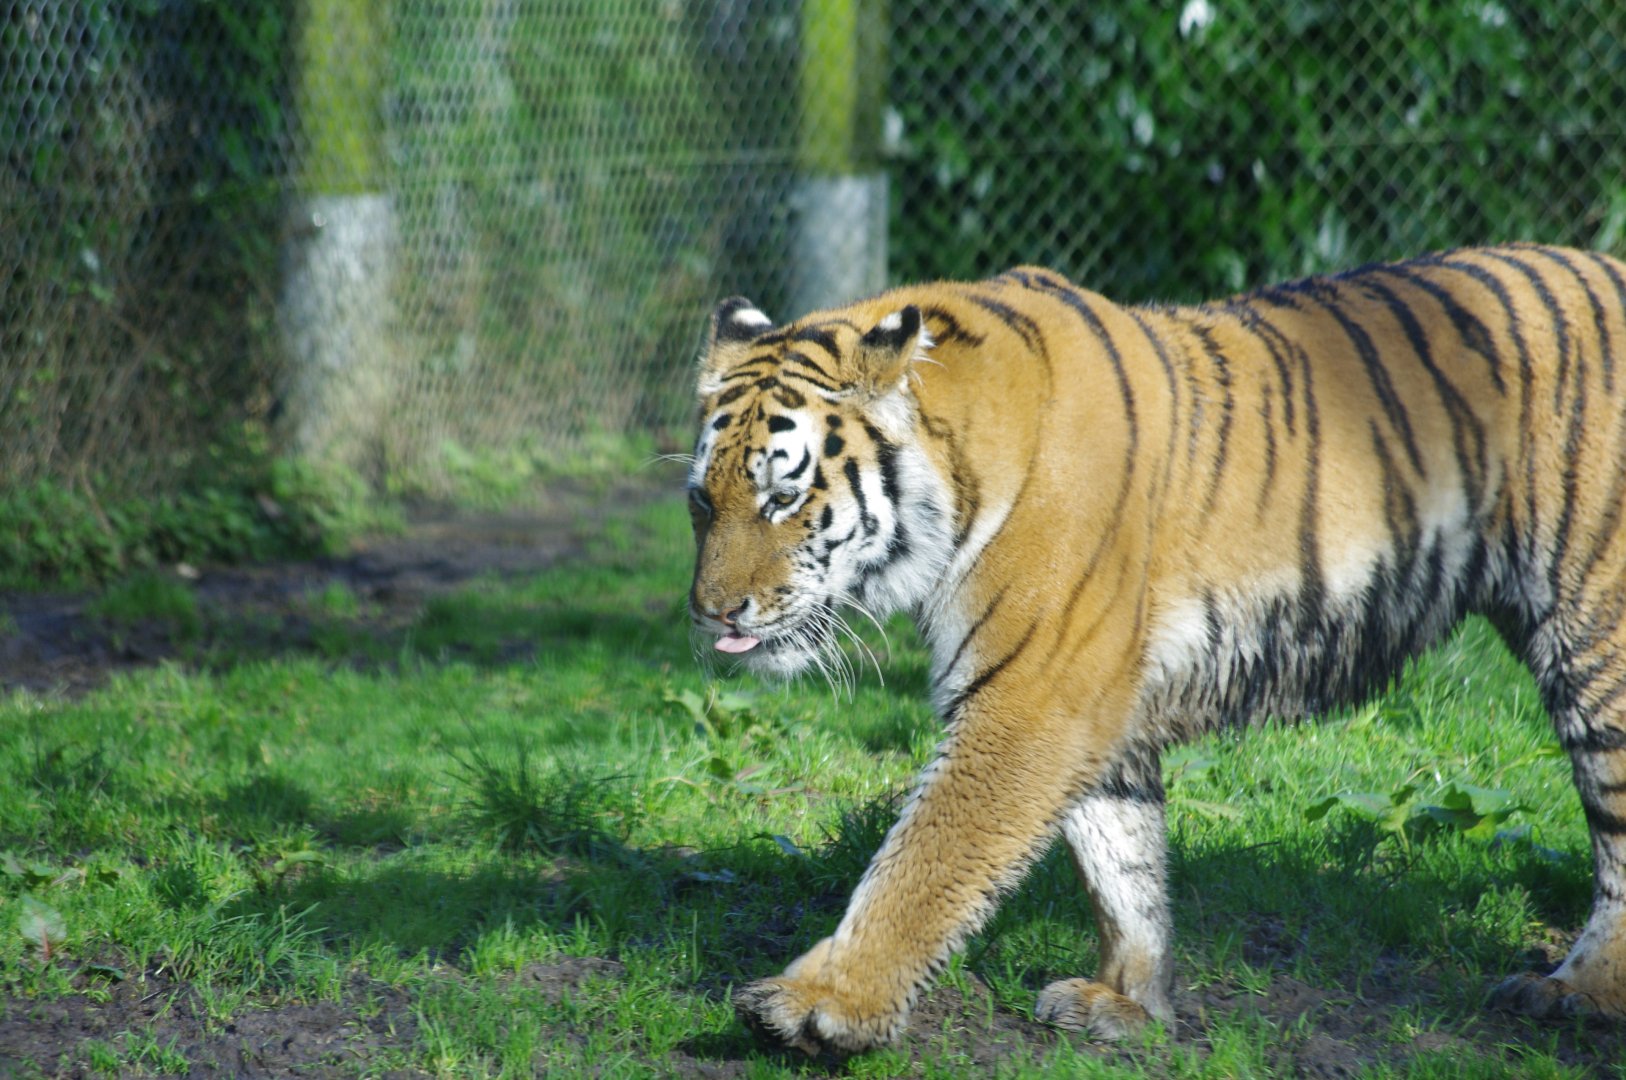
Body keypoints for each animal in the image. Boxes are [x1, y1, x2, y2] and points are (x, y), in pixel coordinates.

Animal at [684, 244, 1626, 1055]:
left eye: (783, 497)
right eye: (702, 500)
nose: (709, 612)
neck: (963, 467)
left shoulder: (1033, 693)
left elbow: (924, 859)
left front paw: (821, 1004)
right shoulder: (1097, 702)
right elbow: (1123, 860)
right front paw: (1130, 1001)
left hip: (1595, 635)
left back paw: (1577, 992)